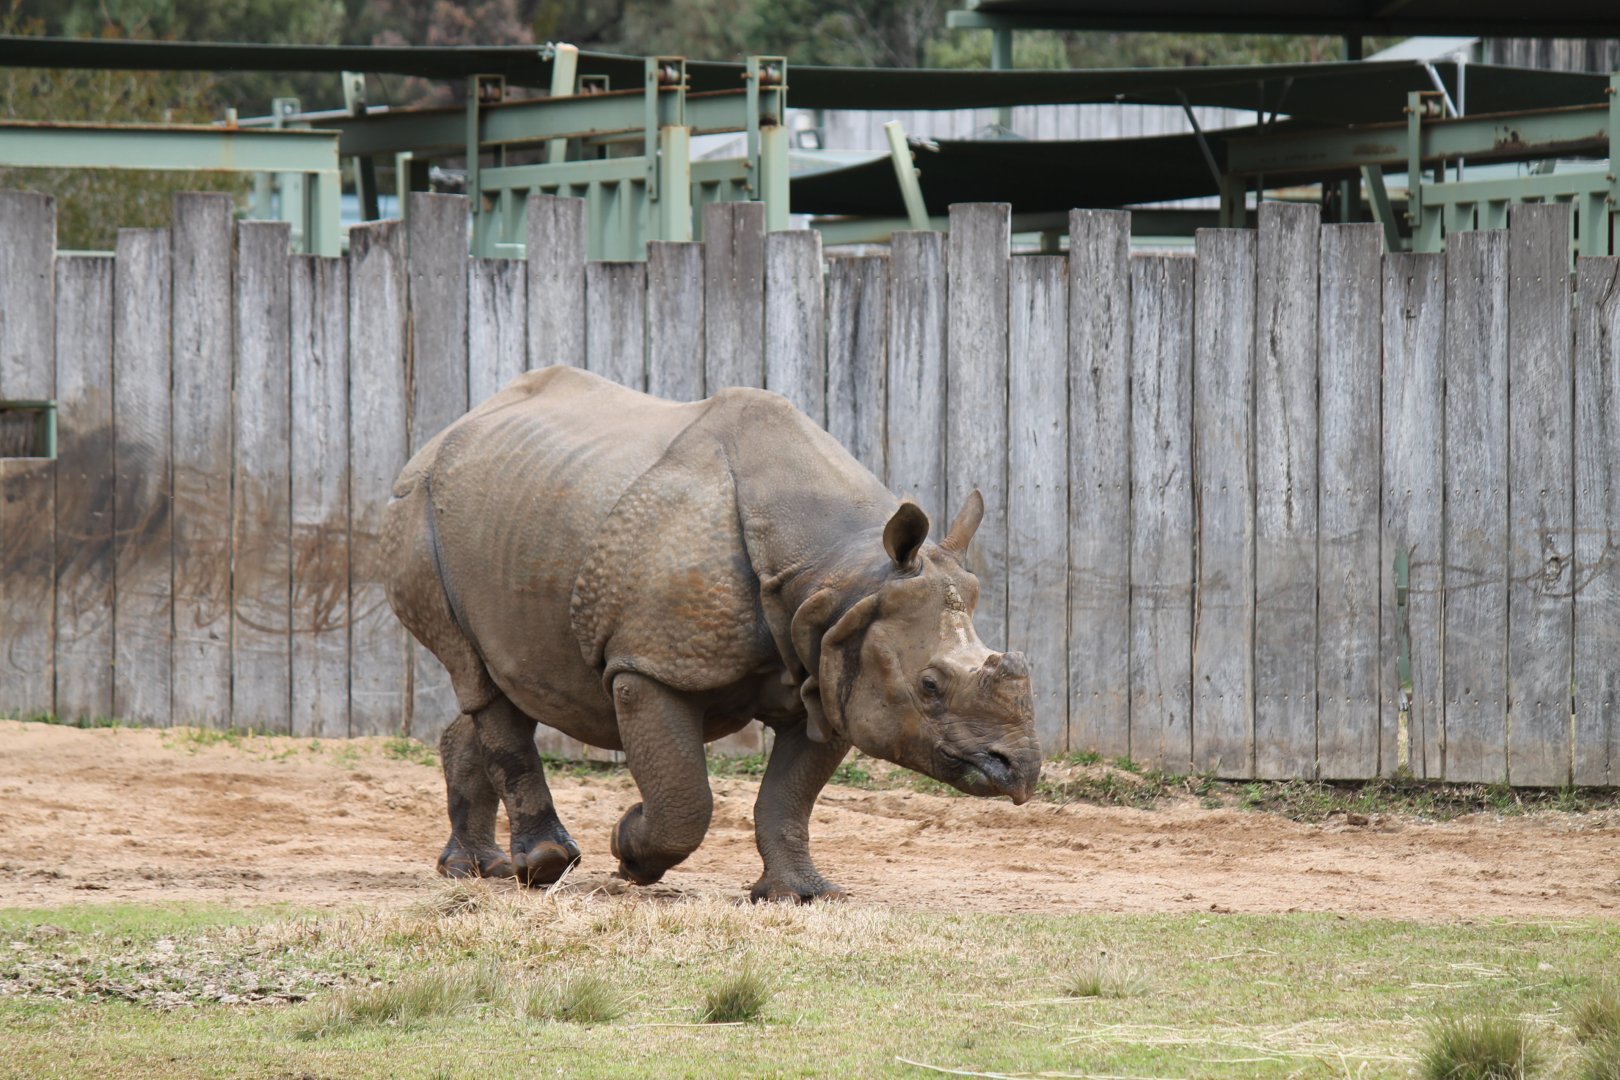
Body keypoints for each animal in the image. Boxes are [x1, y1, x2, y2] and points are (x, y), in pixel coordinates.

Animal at [382, 366, 1039, 901]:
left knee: (499, 678)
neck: (841, 574)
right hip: (417, 509)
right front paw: (630, 849)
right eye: (929, 686)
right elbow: (684, 799)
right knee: (474, 671)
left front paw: (802, 896)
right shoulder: (649, 664)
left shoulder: (832, 658)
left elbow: (789, 796)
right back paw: (544, 868)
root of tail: (444, 433)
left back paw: (475, 869)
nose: (1022, 772)